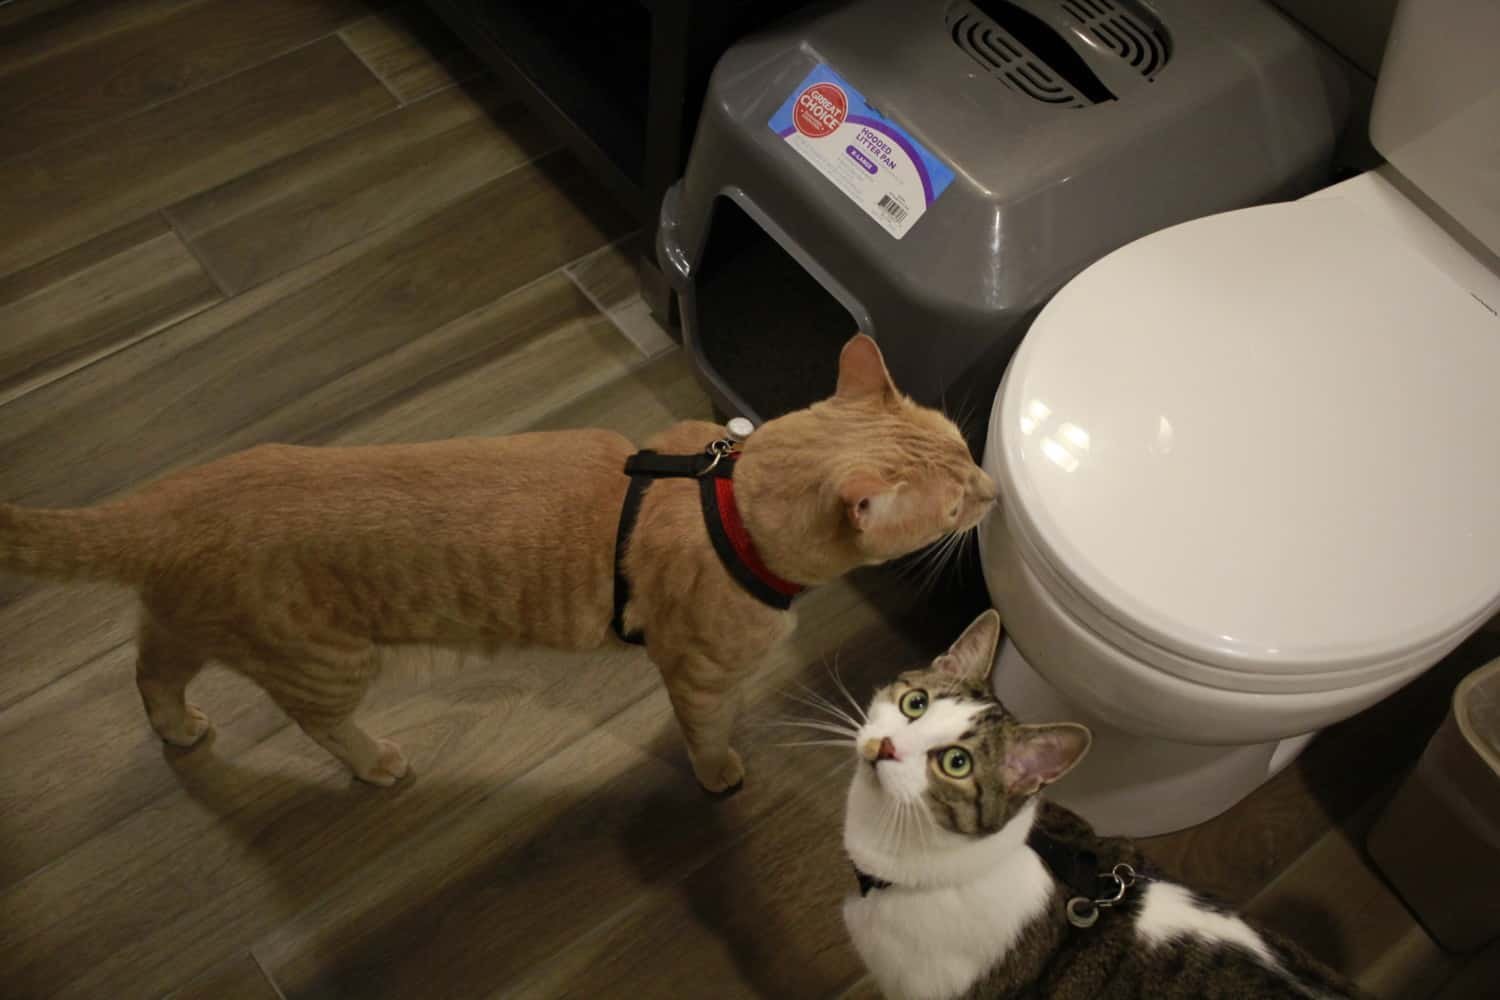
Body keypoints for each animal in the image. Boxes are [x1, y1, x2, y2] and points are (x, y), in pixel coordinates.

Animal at [0, 335, 996, 791]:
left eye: (966, 447)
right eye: (954, 500)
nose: (992, 491)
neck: (725, 501)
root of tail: (176, 496)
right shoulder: (698, 674)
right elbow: (710, 733)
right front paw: (722, 774)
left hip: (185, 620)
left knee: (148, 671)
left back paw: (179, 728)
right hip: (324, 661)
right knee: (319, 725)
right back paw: (377, 761)